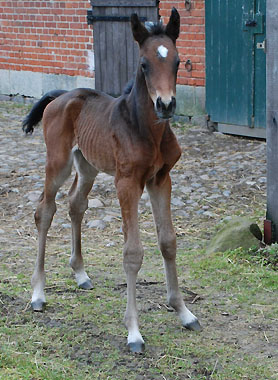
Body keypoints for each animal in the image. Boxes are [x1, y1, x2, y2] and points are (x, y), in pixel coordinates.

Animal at [23, 8, 200, 354]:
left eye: (177, 62)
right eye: (144, 64)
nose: (166, 105)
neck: (145, 129)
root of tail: (61, 96)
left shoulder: (161, 179)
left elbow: (168, 241)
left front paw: (184, 312)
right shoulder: (127, 183)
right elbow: (132, 253)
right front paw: (134, 332)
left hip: (87, 166)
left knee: (75, 205)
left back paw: (80, 274)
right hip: (58, 163)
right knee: (45, 211)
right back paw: (38, 294)